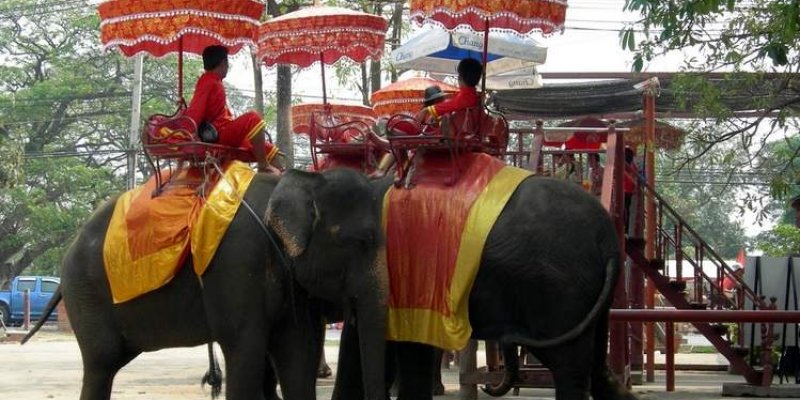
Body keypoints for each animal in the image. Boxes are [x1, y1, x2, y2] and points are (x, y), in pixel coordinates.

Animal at [25, 169, 388, 400]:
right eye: (362, 241)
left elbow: (296, 351)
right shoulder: (237, 263)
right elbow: (245, 349)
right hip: (86, 292)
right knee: (101, 362)